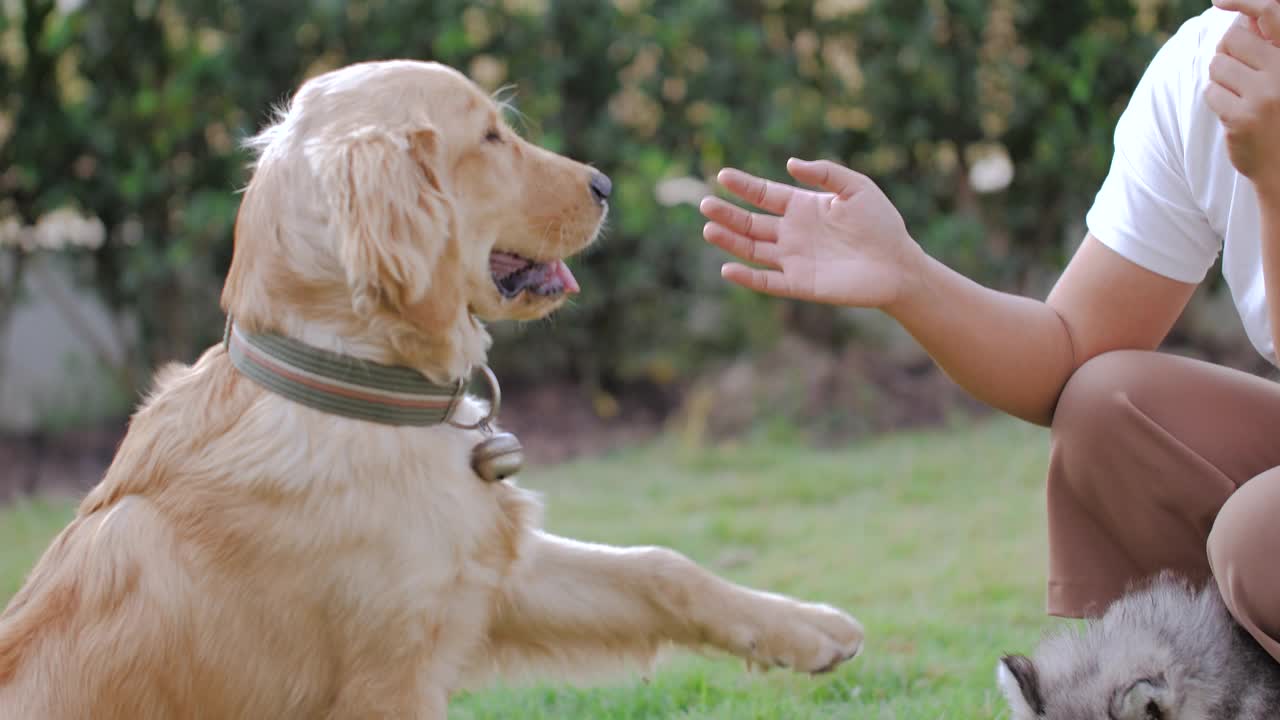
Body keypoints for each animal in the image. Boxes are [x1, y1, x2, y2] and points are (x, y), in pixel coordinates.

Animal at [2, 58, 860, 712]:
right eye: (488, 137)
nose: (607, 183)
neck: (361, 389)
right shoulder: (392, 677)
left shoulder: (490, 573)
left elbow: (656, 565)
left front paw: (806, 627)